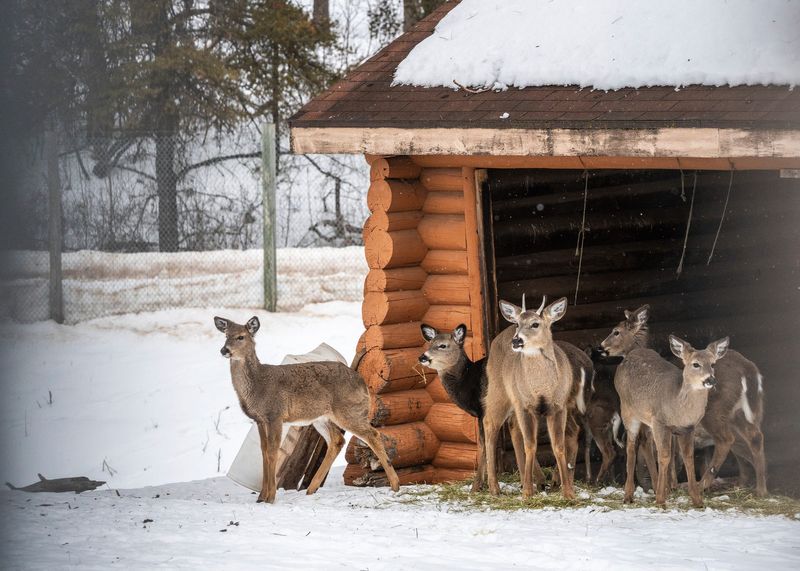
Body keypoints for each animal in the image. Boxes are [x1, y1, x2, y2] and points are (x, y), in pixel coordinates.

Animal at [214, 316, 400, 503]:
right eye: (226, 335)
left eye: (241, 337)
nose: (223, 350)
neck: (258, 385)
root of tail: (363, 382)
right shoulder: (260, 419)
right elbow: (264, 452)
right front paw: (261, 497)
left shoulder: (275, 414)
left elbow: (272, 452)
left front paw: (270, 497)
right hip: (322, 418)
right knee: (337, 440)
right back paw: (311, 489)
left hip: (348, 411)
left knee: (372, 434)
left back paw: (395, 485)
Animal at [483, 295, 584, 499]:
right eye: (518, 324)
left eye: (535, 324)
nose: (516, 340)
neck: (542, 389)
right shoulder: (525, 406)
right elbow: (530, 444)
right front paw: (528, 492)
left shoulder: (558, 406)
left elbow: (558, 445)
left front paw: (568, 492)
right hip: (499, 390)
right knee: (490, 423)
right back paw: (495, 487)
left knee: (514, 428)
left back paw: (529, 480)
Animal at [614, 334, 728, 508]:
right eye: (695, 364)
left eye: (713, 364)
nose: (711, 380)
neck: (678, 408)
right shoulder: (660, 422)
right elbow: (664, 456)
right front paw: (661, 500)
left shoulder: (688, 428)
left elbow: (688, 458)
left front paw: (697, 500)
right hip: (628, 410)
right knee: (631, 447)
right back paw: (628, 495)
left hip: (646, 418)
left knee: (645, 442)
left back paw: (655, 487)